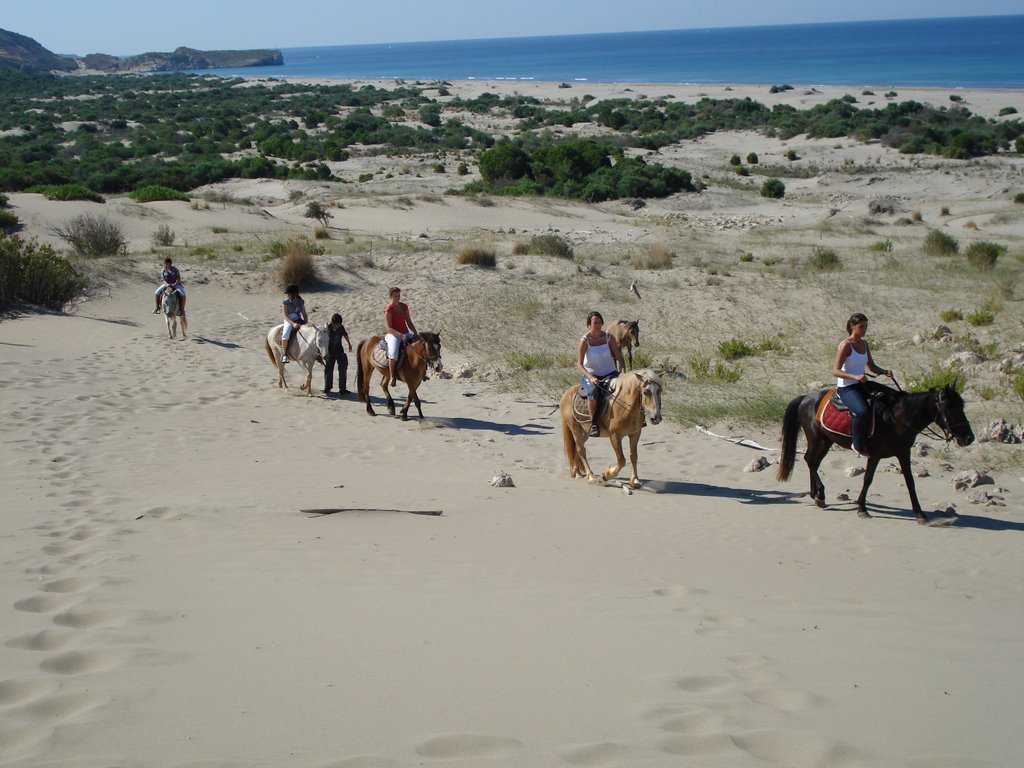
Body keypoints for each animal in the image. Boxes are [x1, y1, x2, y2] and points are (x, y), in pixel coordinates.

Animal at [778, 382, 970, 524]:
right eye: (950, 408)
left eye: (962, 406)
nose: (969, 437)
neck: (896, 418)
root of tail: (806, 397)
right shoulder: (875, 454)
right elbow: (867, 479)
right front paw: (862, 509)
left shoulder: (903, 452)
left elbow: (910, 482)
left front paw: (920, 514)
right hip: (817, 438)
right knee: (810, 461)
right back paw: (820, 495)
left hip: (826, 440)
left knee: (813, 462)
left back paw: (816, 495)